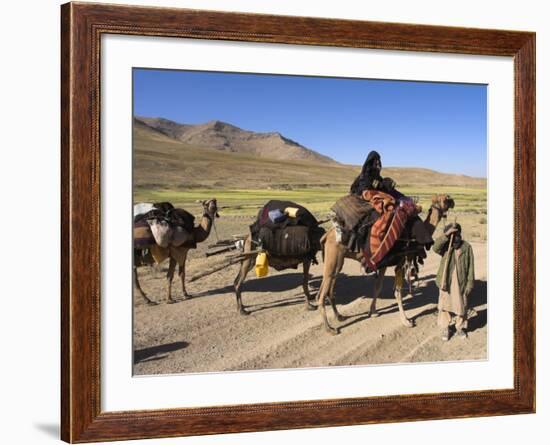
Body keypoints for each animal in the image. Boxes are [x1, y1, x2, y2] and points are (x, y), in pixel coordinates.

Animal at [316, 194, 454, 332]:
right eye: (446, 199)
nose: (452, 201)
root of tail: (326, 235)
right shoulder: (400, 261)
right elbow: (398, 291)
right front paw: (406, 321)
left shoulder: (383, 263)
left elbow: (378, 287)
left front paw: (373, 312)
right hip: (333, 256)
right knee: (322, 292)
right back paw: (329, 329)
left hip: (337, 261)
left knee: (327, 287)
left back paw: (339, 316)